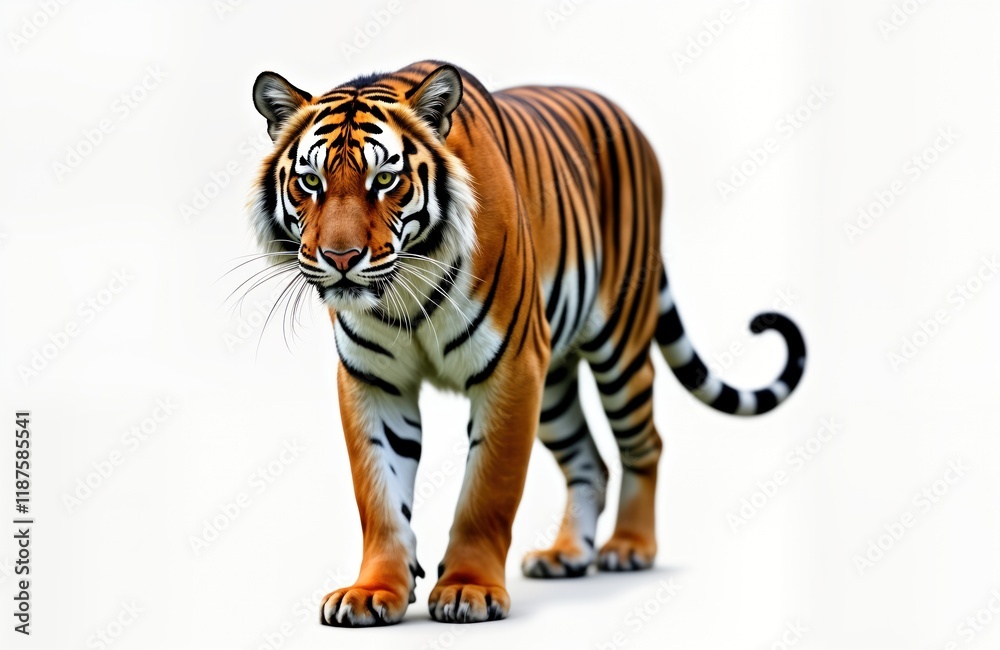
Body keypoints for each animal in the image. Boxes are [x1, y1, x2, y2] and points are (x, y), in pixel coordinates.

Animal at [248, 60, 805, 626]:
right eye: (310, 181)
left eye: (385, 179)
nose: (341, 258)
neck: (409, 287)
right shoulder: (373, 380)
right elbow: (379, 497)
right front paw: (372, 591)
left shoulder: (511, 368)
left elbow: (488, 490)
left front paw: (467, 589)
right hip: (554, 382)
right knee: (589, 460)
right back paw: (567, 555)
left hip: (620, 347)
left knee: (644, 443)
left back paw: (629, 546)